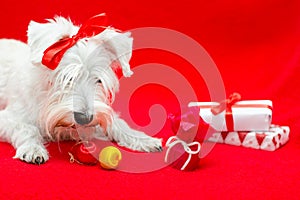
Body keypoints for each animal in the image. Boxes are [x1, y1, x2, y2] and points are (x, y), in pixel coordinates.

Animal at [0, 13, 162, 164]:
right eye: (67, 77)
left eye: (98, 80)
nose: (84, 118)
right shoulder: (7, 118)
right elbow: (27, 129)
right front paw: (33, 148)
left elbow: (117, 123)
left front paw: (143, 139)